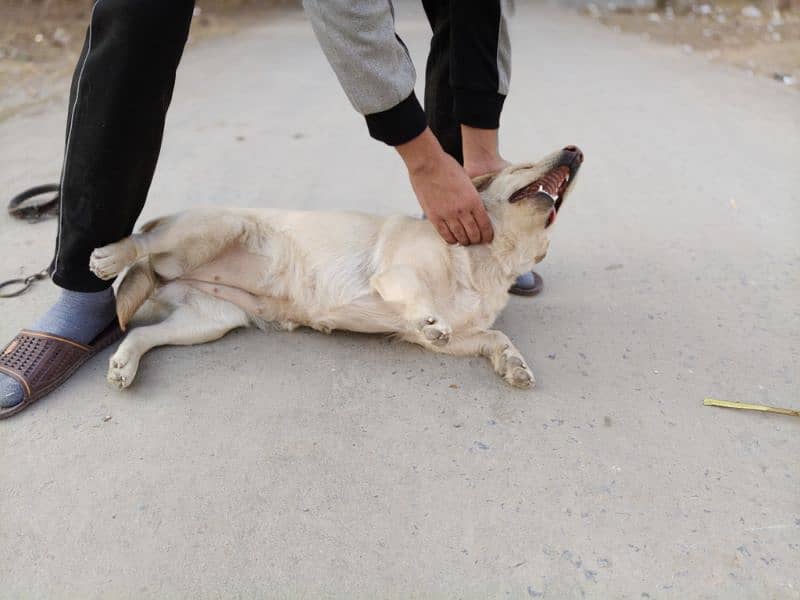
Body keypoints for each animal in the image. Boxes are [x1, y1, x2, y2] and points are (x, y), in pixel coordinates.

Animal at [90, 146, 584, 390]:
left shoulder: (452, 339)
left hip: (209, 320)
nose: (575, 151)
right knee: (146, 243)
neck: (489, 260)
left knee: (141, 332)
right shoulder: (393, 277)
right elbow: (420, 298)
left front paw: (512, 363)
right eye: (522, 165)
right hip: (217, 227)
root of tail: (164, 278)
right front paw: (430, 316)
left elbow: (495, 337)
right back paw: (112, 255)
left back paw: (124, 365)